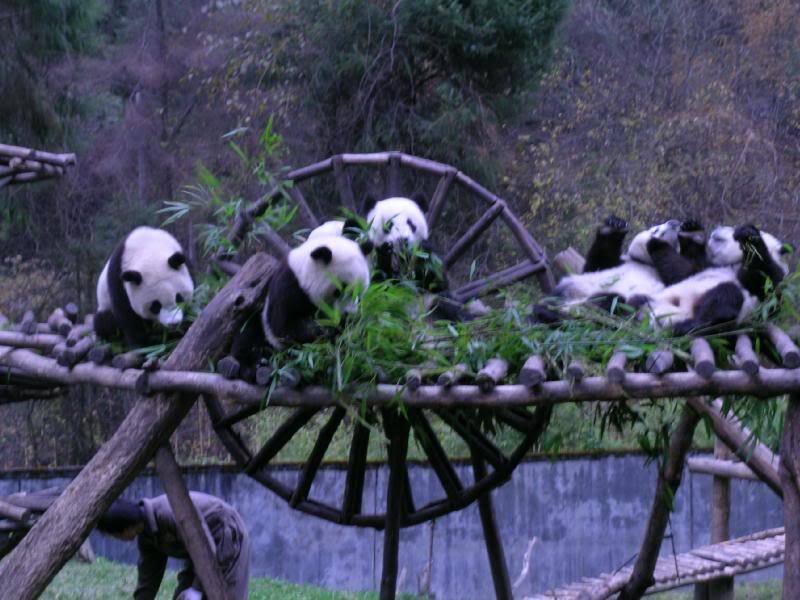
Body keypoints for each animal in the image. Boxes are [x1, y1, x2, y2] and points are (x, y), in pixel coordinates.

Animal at [219, 234, 372, 379]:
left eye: (360, 292)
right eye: (338, 291)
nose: (348, 313)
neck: (302, 272)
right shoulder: (289, 289)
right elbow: (285, 329)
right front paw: (324, 329)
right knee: (248, 333)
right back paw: (254, 364)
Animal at [635, 224, 792, 335]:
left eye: (733, 230)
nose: (718, 230)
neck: (733, 264)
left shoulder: (765, 290)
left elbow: (768, 287)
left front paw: (749, 235)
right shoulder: (704, 267)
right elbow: (681, 269)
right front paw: (691, 231)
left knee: (724, 300)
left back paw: (687, 327)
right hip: (651, 301)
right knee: (636, 301)